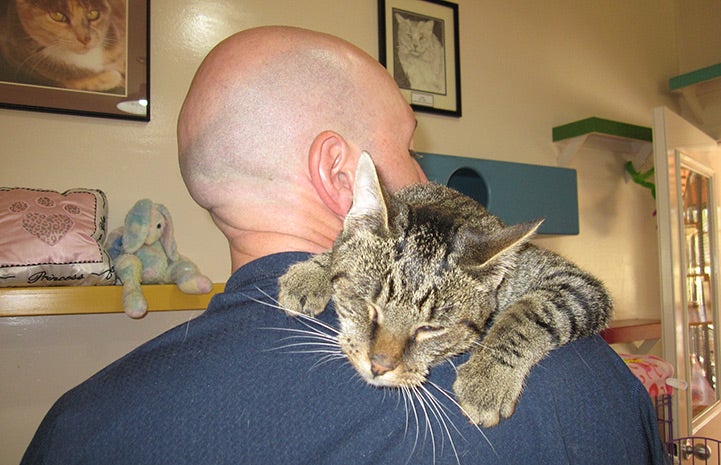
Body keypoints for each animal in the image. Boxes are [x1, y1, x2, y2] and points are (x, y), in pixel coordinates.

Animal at [278, 150, 612, 426]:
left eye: (431, 329)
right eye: (368, 305)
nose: (379, 366)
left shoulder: (578, 284)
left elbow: (529, 313)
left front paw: (487, 379)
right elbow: (338, 247)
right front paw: (312, 272)